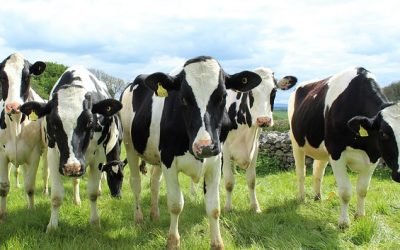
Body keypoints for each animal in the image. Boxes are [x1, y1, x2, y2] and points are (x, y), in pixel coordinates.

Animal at [0, 52, 46, 219]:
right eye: (3, 77)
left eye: (27, 76)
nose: (12, 106)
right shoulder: (2, 154)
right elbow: (4, 187)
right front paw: (2, 214)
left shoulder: (34, 154)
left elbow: (30, 186)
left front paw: (31, 210)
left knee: (43, 175)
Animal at [19, 65, 122, 231]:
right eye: (54, 123)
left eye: (89, 122)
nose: (72, 167)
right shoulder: (54, 155)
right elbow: (56, 196)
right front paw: (52, 226)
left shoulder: (99, 156)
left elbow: (93, 193)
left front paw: (95, 222)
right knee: (75, 181)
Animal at [119, 55, 262, 249]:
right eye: (183, 98)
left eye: (223, 96)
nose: (205, 146)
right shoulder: (169, 161)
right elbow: (175, 204)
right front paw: (173, 241)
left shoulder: (216, 161)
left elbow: (213, 207)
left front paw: (217, 243)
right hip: (130, 147)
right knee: (136, 183)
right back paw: (139, 218)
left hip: (156, 156)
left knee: (155, 183)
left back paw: (154, 215)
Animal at [223, 67, 296, 212]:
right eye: (250, 91)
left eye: (274, 91)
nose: (264, 120)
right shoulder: (225, 149)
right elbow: (229, 182)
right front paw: (227, 208)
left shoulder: (255, 148)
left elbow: (251, 180)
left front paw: (255, 207)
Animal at [288, 67, 400, 229]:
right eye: (384, 134)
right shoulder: (336, 152)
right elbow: (345, 191)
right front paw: (344, 222)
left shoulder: (373, 155)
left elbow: (363, 189)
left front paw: (360, 216)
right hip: (296, 143)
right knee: (301, 173)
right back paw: (302, 198)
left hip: (323, 149)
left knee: (318, 171)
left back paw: (318, 197)